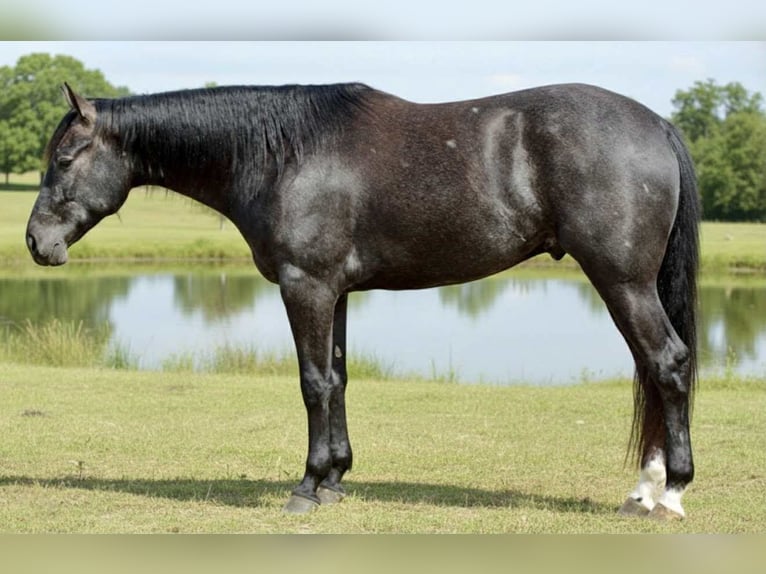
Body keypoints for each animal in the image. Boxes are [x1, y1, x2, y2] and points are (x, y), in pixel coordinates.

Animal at [26, 81, 699, 519]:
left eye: (65, 158)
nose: (36, 242)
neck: (283, 154)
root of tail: (657, 124)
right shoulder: (338, 292)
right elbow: (339, 379)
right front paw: (335, 479)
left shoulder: (306, 285)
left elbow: (312, 383)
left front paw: (306, 487)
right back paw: (647, 489)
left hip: (622, 282)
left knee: (666, 364)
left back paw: (666, 492)